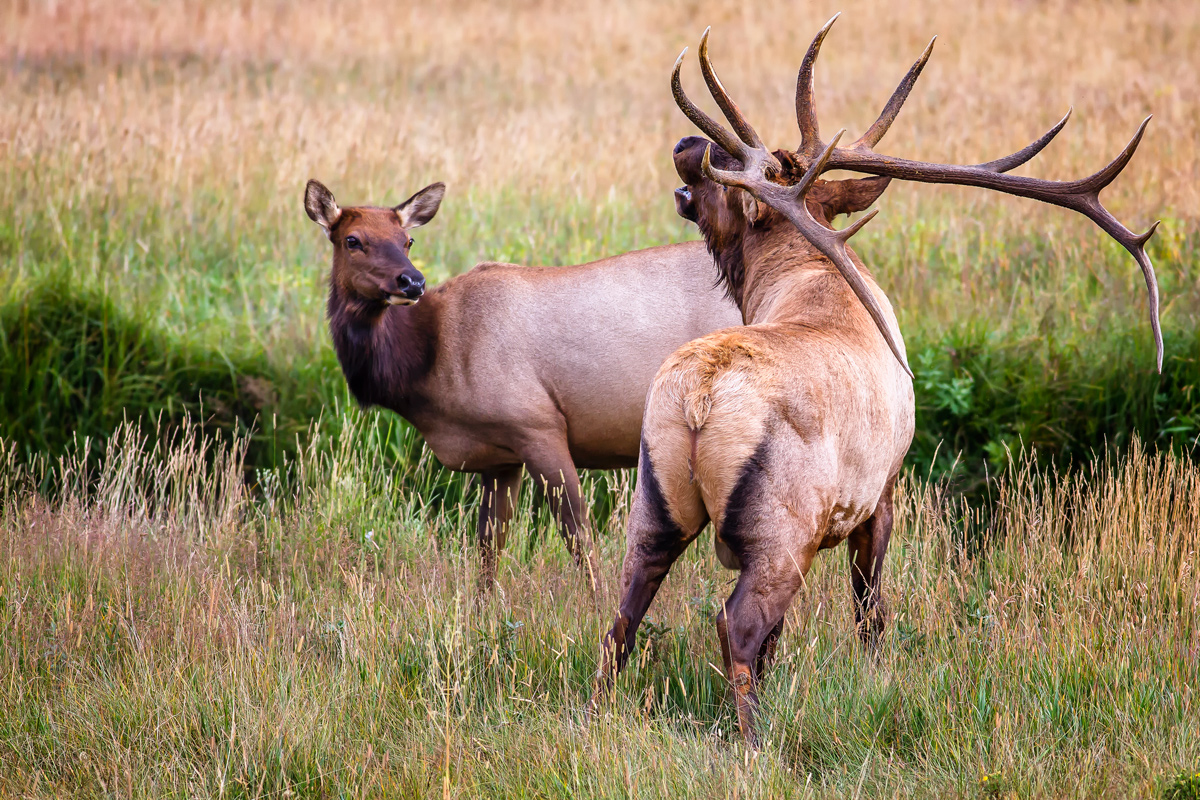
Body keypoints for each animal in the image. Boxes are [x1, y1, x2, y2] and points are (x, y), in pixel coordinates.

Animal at [302, 181, 748, 594]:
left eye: (407, 240)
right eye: (352, 240)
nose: (411, 282)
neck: (426, 366)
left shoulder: (537, 425)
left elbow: (579, 538)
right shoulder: (499, 458)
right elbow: (488, 548)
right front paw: (483, 612)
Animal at [595, 15, 1156, 748]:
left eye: (730, 176)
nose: (689, 145)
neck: (800, 281)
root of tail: (700, 399)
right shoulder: (881, 491)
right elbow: (870, 610)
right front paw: (876, 679)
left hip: (653, 497)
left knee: (621, 619)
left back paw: (595, 713)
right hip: (783, 527)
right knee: (738, 625)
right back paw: (755, 743)